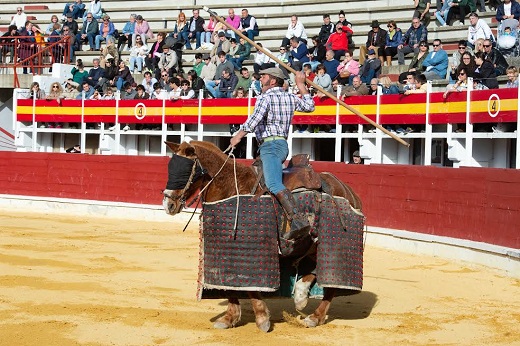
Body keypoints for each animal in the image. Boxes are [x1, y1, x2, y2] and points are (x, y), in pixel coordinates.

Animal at [161, 141, 362, 332]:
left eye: (185, 170)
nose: (168, 204)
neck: (231, 185)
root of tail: (350, 192)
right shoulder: (223, 251)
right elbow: (229, 284)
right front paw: (229, 318)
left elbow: (250, 288)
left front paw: (262, 318)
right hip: (311, 245)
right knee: (315, 268)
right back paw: (301, 296)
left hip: (335, 246)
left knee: (332, 283)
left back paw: (314, 316)